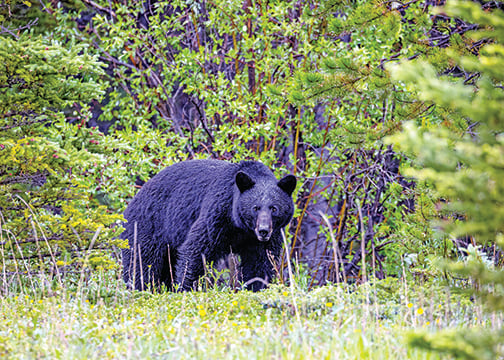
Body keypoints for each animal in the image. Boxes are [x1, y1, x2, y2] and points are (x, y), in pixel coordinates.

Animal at [121, 160, 296, 292]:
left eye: (274, 208)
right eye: (255, 208)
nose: (263, 231)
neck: (241, 227)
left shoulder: (265, 237)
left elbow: (261, 263)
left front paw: (256, 287)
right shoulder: (217, 214)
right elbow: (195, 250)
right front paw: (186, 288)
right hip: (148, 228)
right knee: (142, 264)